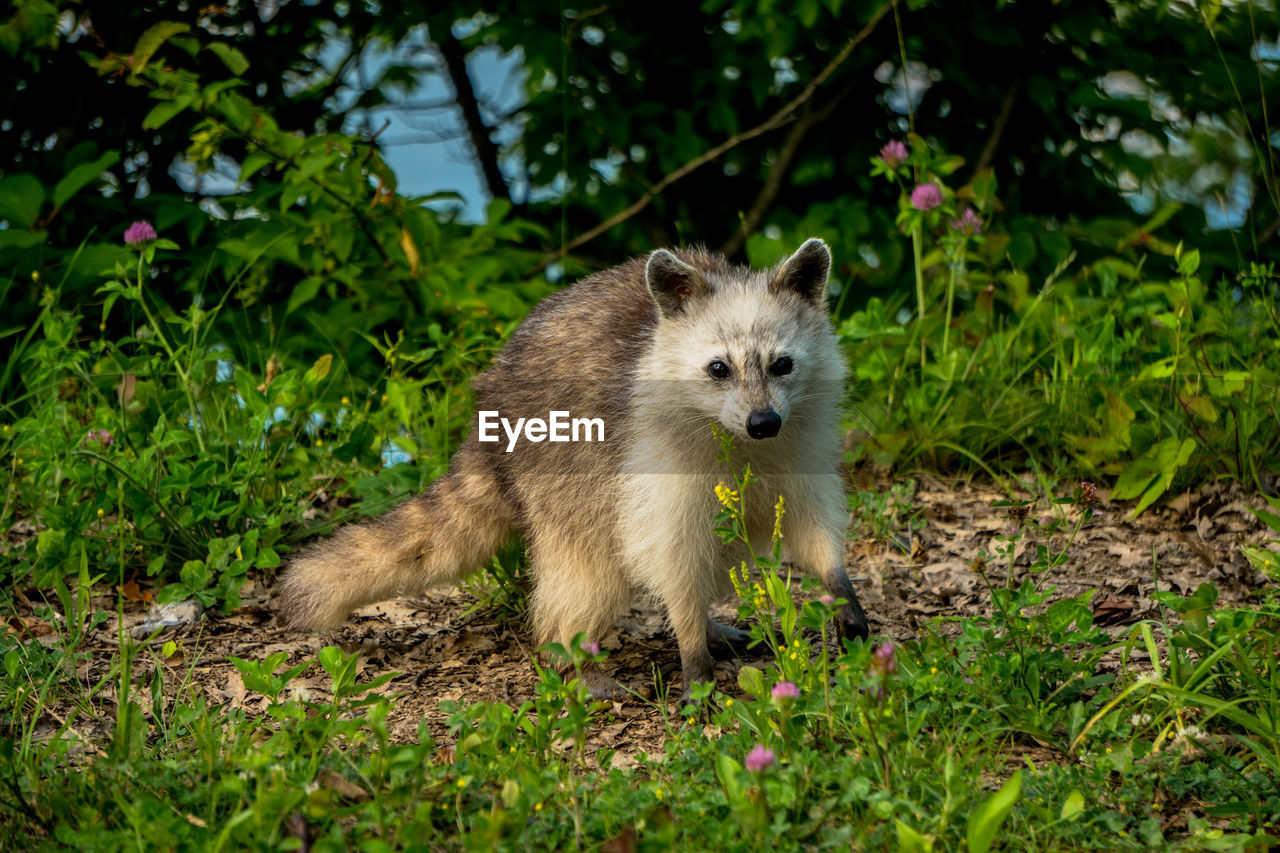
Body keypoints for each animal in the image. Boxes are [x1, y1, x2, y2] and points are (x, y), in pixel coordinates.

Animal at [279, 235, 870, 696]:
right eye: (718, 369)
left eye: (782, 364)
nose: (763, 422)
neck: (735, 436)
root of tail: (490, 410)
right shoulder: (652, 460)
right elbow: (668, 553)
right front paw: (689, 643)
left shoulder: (801, 439)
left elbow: (810, 520)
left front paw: (836, 580)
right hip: (560, 467)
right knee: (588, 572)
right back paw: (570, 652)